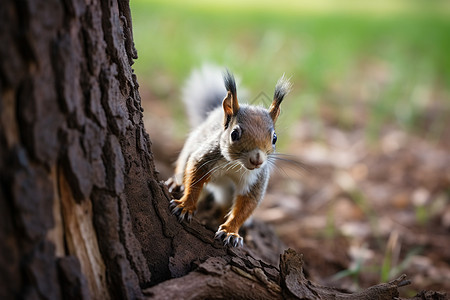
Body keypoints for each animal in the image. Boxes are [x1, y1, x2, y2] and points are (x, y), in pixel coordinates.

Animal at [166, 65, 292, 246]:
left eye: (274, 138)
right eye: (234, 134)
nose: (257, 160)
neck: (236, 164)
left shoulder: (256, 178)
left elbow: (246, 205)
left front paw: (230, 232)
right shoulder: (206, 157)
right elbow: (194, 179)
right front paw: (186, 206)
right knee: (184, 162)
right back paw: (176, 183)